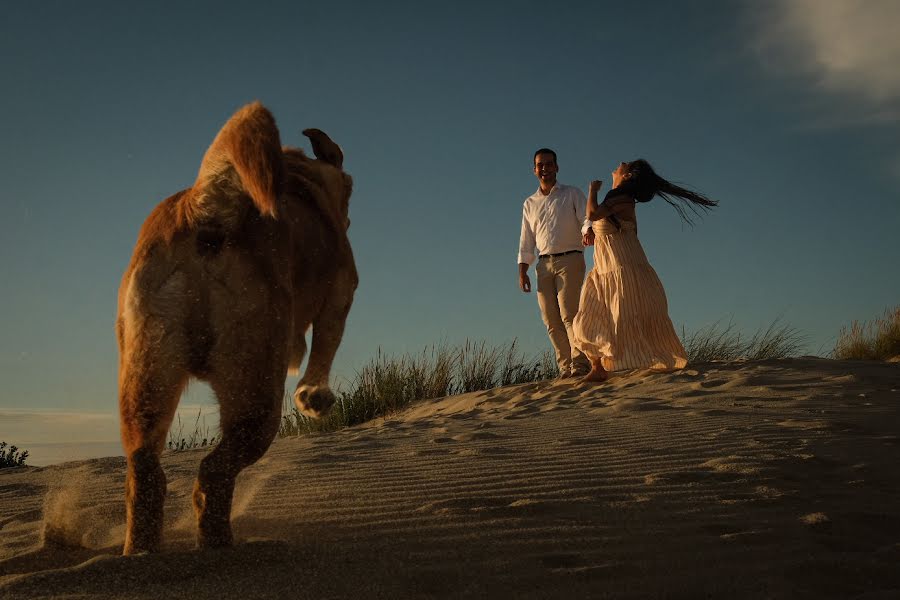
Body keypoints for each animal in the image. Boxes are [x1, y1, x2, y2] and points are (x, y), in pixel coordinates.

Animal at [118, 102, 356, 552]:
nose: (348, 219)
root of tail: (204, 208)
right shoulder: (341, 292)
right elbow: (324, 349)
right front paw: (313, 397)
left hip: (147, 378)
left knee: (146, 473)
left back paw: (141, 550)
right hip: (255, 390)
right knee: (213, 472)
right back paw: (218, 543)